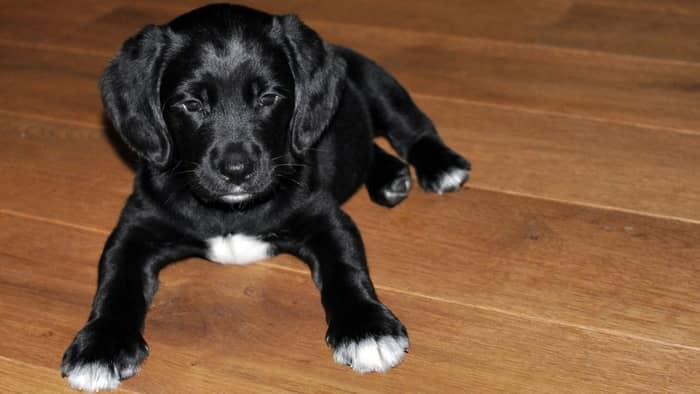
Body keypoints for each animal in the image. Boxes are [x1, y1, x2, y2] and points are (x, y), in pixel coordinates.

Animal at [61, 3, 470, 390]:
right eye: (191, 105)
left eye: (269, 98)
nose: (236, 170)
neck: (230, 212)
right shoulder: (136, 227)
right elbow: (115, 281)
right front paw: (100, 346)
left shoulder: (326, 219)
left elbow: (347, 269)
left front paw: (367, 328)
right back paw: (388, 176)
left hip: (378, 83)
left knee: (411, 128)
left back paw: (440, 165)